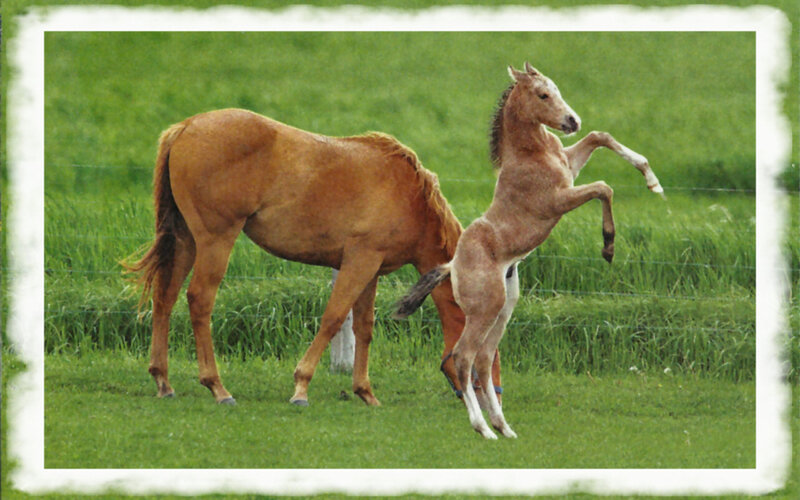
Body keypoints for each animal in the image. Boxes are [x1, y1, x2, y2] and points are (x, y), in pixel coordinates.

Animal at [123, 108, 503, 407]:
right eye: (489, 348)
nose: (494, 396)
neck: (409, 196)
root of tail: (186, 127)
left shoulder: (371, 270)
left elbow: (364, 328)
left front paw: (365, 392)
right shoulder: (359, 262)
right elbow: (333, 318)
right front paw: (301, 388)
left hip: (185, 238)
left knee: (165, 297)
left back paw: (163, 381)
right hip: (216, 240)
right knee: (199, 299)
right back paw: (217, 387)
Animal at [393, 62, 664, 439]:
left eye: (557, 88)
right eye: (542, 95)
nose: (572, 121)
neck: (531, 153)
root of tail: (453, 264)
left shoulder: (570, 166)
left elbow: (600, 137)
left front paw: (652, 180)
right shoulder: (559, 200)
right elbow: (603, 188)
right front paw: (608, 246)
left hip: (504, 308)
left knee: (483, 358)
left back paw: (504, 427)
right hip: (485, 309)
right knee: (462, 358)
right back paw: (484, 428)